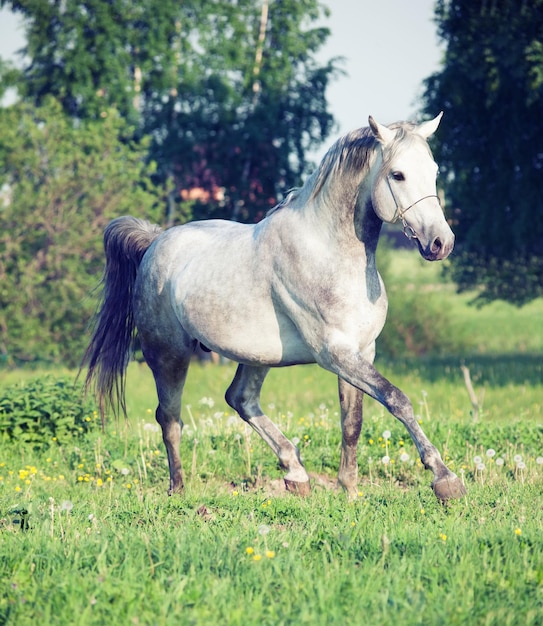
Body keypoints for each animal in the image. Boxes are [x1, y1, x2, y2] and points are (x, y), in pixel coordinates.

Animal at [85, 113, 468, 502]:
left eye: (434, 170)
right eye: (397, 175)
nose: (441, 242)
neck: (330, 252)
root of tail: (155, 242)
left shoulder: (362, 351)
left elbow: (352, 421)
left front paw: (349, 490)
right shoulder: (335, 354)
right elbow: (396, 398)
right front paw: (445, 478)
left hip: (255, 356)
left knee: (240, 399)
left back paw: (295, 472)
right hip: (169, 355)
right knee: (169, 418)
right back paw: (178, 489)